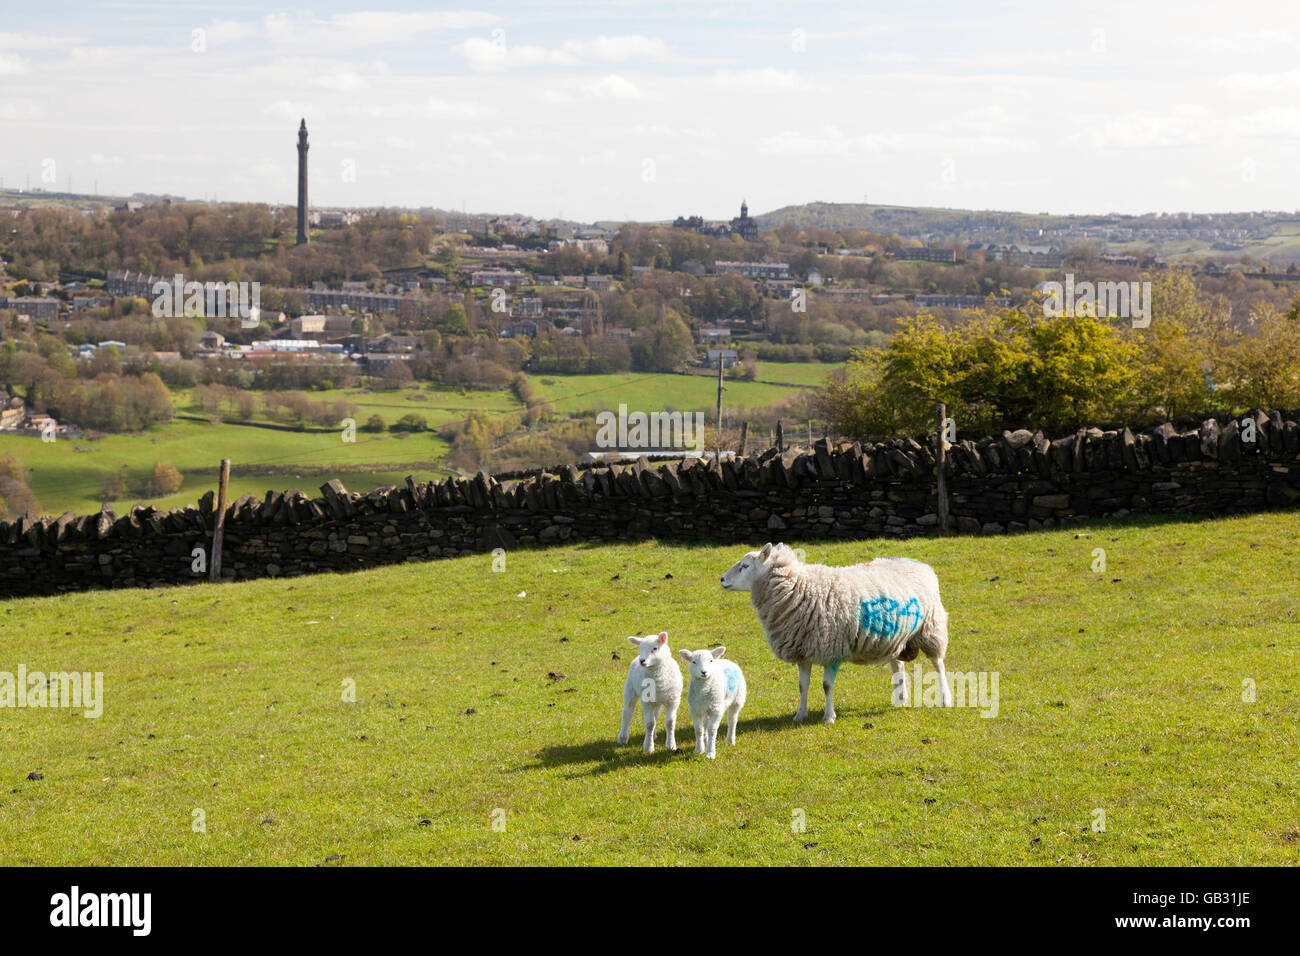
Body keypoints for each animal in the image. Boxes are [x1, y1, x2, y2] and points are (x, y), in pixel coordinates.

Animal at [721, 542, 953, 723]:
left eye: (745, 566)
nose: (722, 579)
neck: (798, 589)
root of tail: (919, 563)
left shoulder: (831, 649)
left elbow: (826, 686)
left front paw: (829, 717)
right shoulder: (802, 650)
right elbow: (802, 686)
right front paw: (800, 715)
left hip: (931, 627)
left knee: (938, 664)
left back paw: (945, 699)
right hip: (896, 636)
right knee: (899, 667)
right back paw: (900, 699)